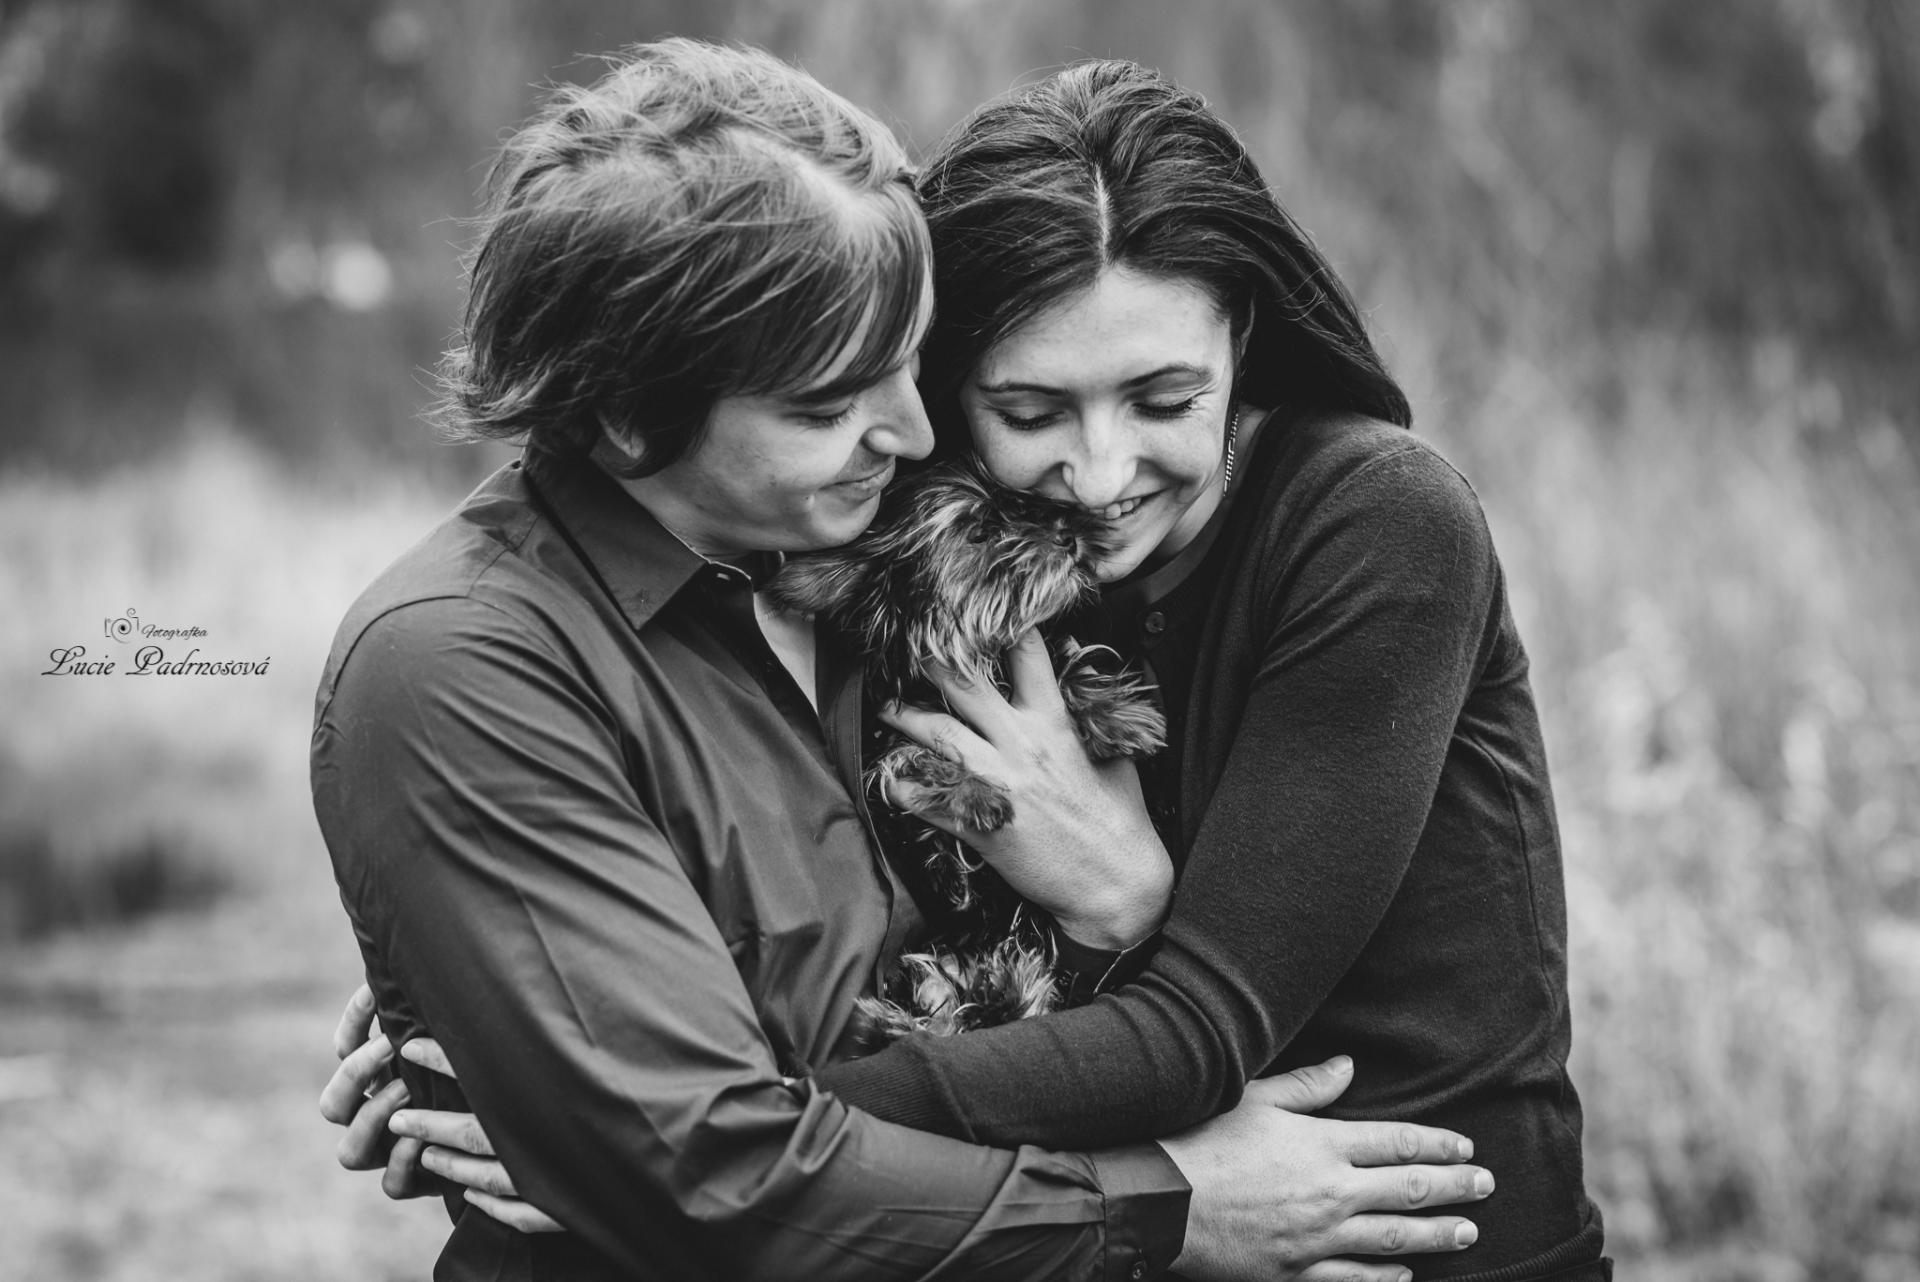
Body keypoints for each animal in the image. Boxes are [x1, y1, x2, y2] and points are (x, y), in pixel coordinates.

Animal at [767, 458, 1166, 1051]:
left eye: (1023, 507)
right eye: (978, 534)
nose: (1067, 536)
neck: (977, 650)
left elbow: (1069, 666)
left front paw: (1118, 716)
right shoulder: (886, 744)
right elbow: (912, 758)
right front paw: (978, 797)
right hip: (942, 966)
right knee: (940, 1009)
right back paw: (899, 1017)